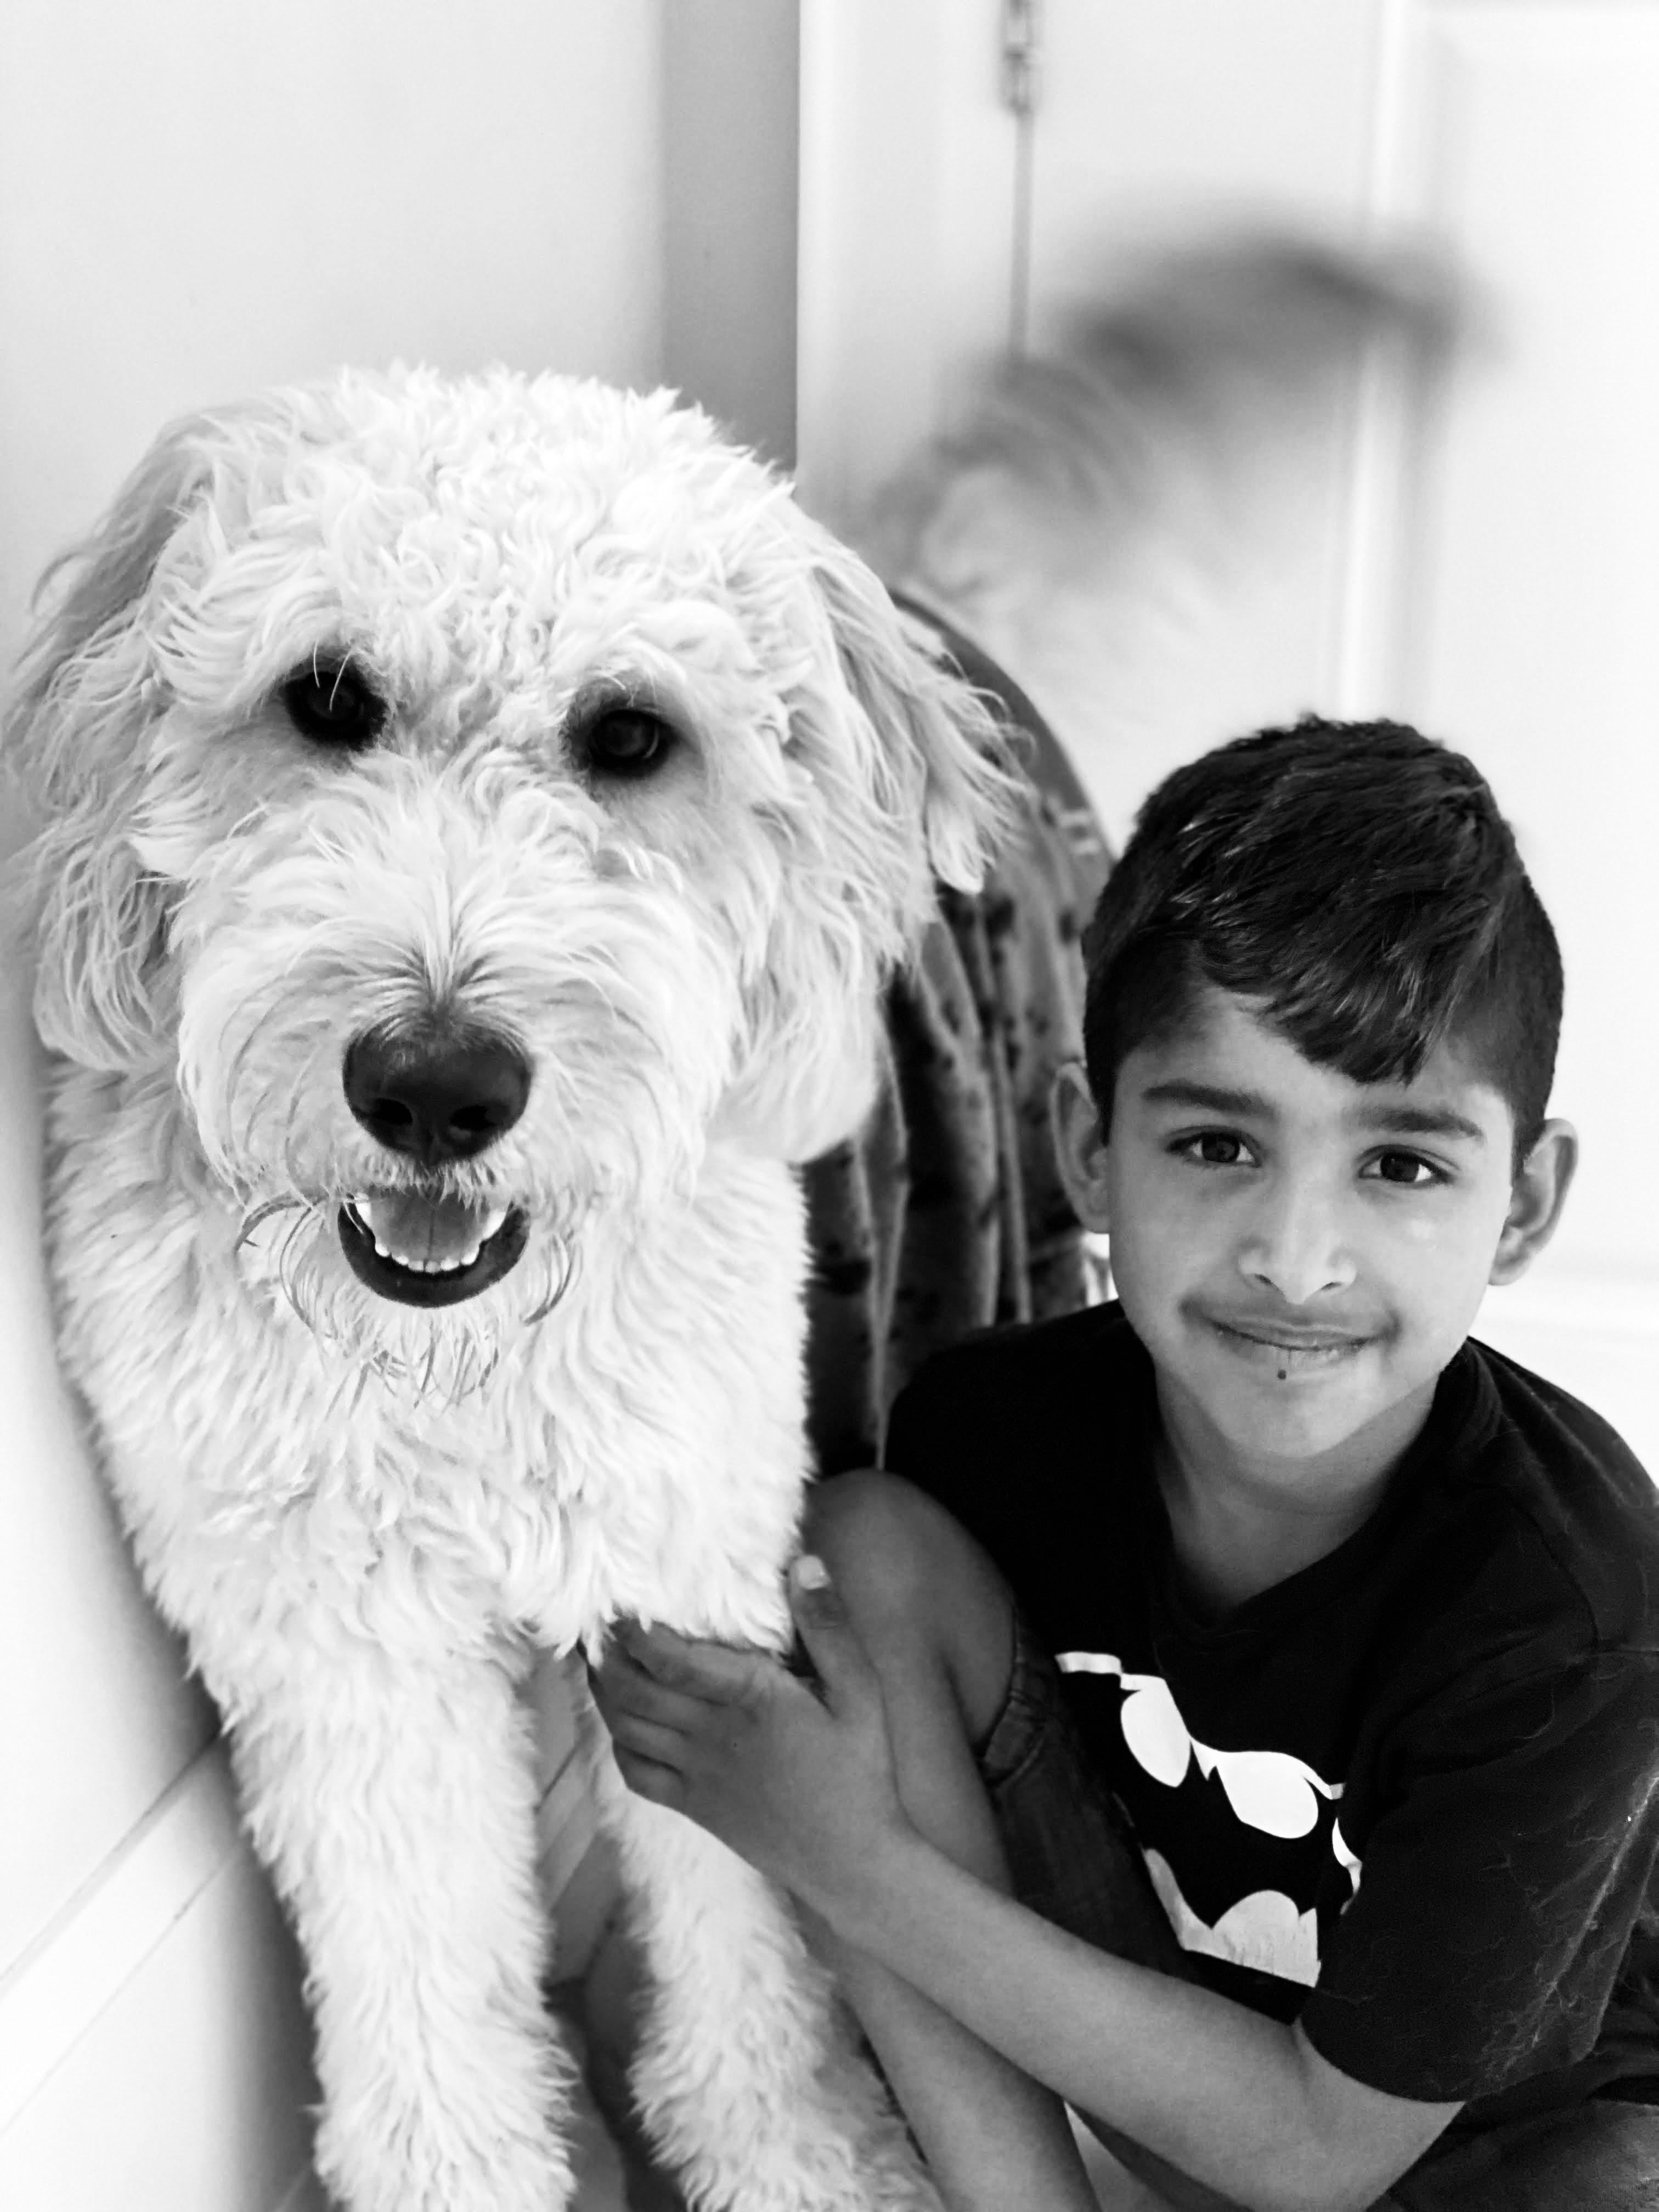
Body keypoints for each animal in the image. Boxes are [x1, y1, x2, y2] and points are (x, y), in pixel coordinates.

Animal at [4, 241, 1452, 2212]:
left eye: (631, 737)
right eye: (326, 697)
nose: (435, 1084)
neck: (461, 1352)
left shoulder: (683, 1554)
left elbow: (753, 1949)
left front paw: (809, 2161)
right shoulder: (335, 1637)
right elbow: (421, 1988)